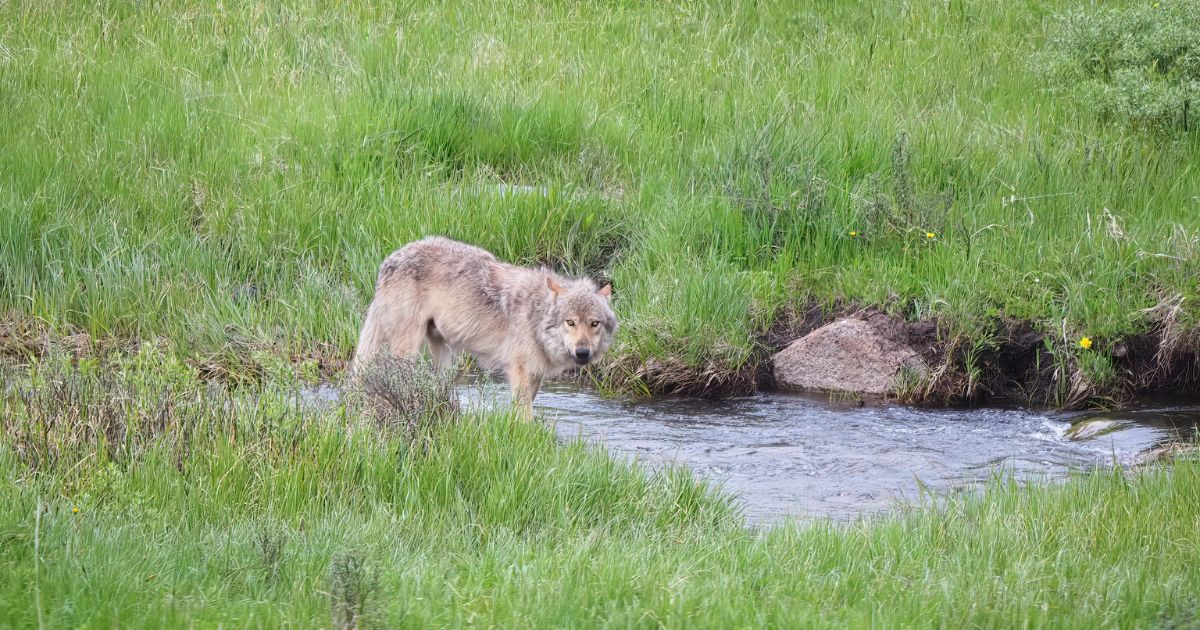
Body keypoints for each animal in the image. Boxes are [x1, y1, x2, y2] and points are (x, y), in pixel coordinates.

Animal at [350, 238, 619, 415]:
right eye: (570, 322)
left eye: (594, 323)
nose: (582, 352)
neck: (536, 316)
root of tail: (389, 260)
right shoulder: (520, 372)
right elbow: (525, 416)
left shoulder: (535, 376)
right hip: (408, 350)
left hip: (443, 353)